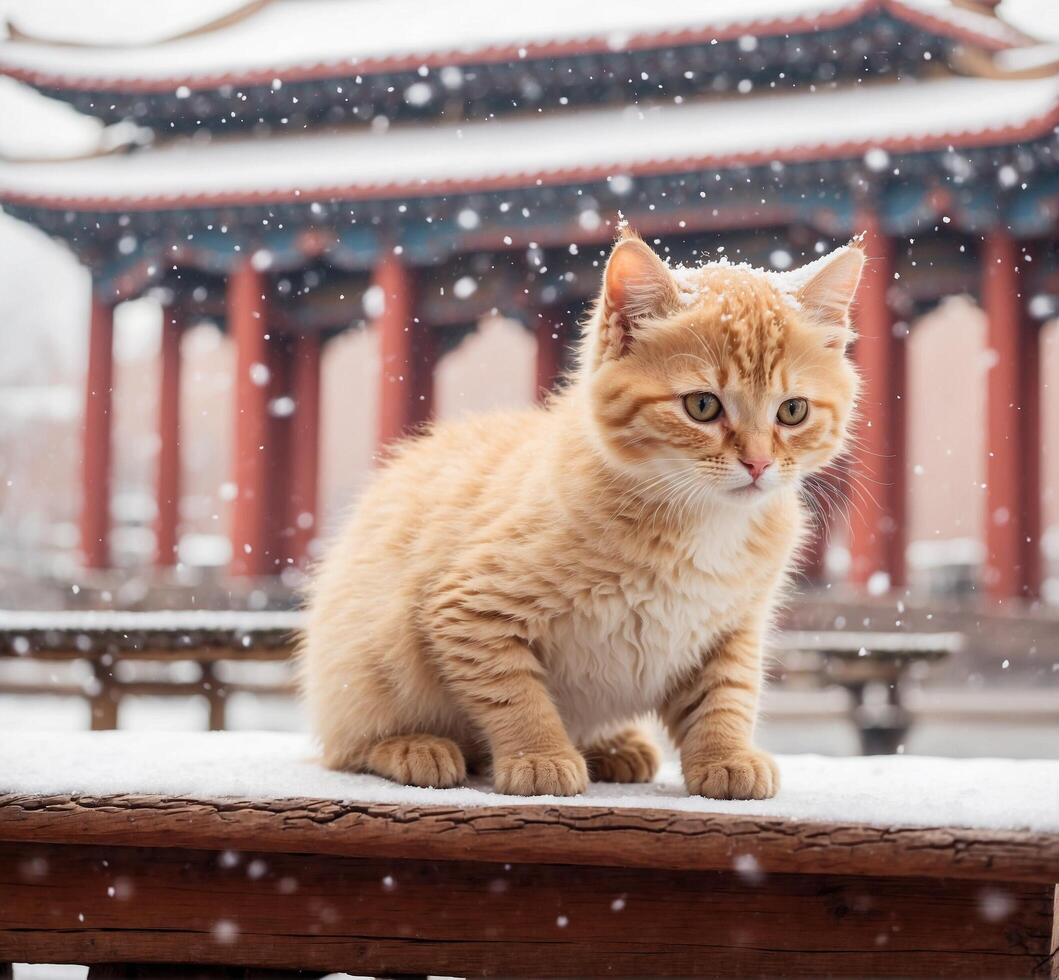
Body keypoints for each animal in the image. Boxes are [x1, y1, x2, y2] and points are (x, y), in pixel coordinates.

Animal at [302, 233, 864, 800]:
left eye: (792, 411)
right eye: (702, 406)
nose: (758, 463)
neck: (700, 520)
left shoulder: (732, 627)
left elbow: (727, 693)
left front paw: (725, 756)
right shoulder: (468, 608)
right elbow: (514, 692)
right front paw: (540, 756)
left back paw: (615, 746)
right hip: (363, 664)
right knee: (346, 746)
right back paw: (415, 747)